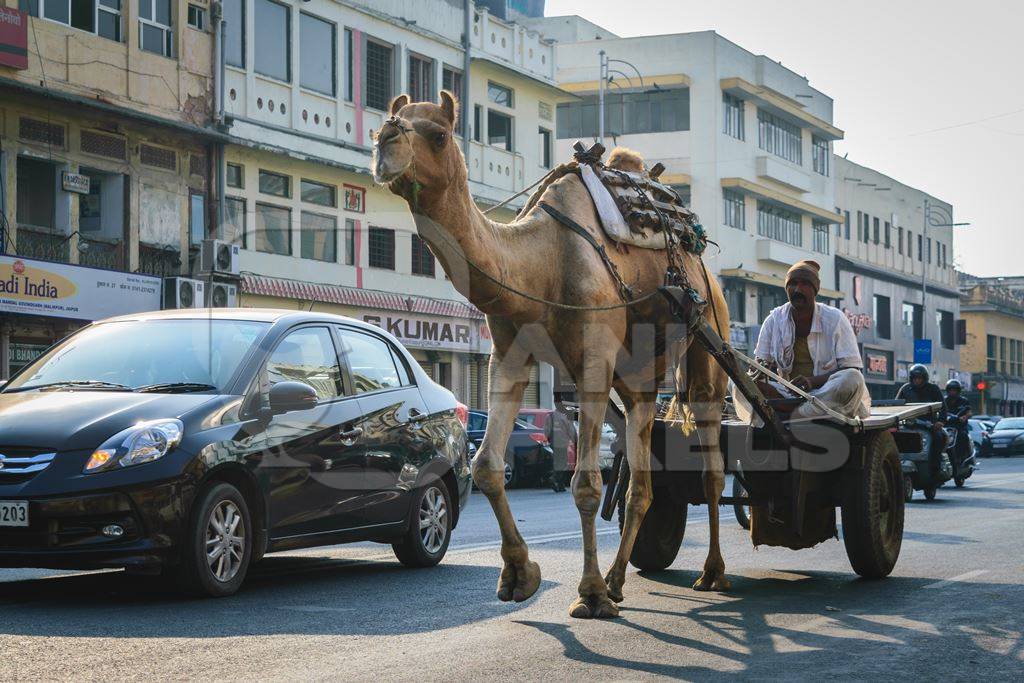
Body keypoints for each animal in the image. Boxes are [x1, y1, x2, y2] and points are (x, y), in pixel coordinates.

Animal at [372, 88, 733, 618]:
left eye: (437, 133)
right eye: (386, 122)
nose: (385, 142)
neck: (540, 265)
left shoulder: (593, 364)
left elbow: (586, 485)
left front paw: (589, 594)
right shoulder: (507, 356)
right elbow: (486, 465)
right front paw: (519, 576)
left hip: (709, 339)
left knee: (710, 466)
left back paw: (709, 573)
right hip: (638, 379)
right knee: (642, 481)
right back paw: (619, 579)